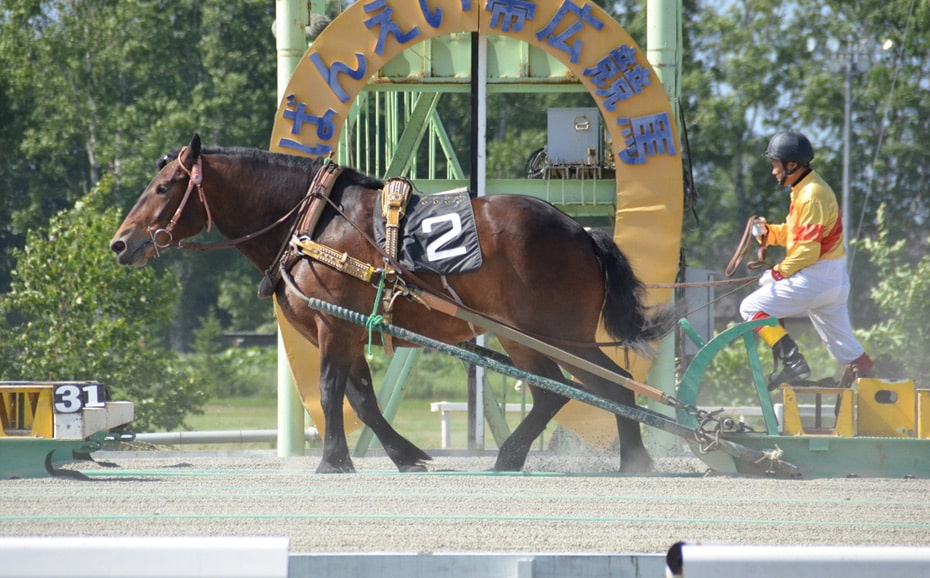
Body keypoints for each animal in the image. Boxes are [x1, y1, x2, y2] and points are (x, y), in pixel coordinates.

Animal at [110, 133, 677, 474]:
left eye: (164, 187)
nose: (120, 242)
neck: (316, 222)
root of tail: (581, 231)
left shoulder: (333, 326)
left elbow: (331, 389)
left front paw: (333, 458)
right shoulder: (349, 327)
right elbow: (362, 397)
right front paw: (404, 453)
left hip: (553, 335)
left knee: (595, 387)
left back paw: (598, 457)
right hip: (532, 337)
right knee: (571, 392)